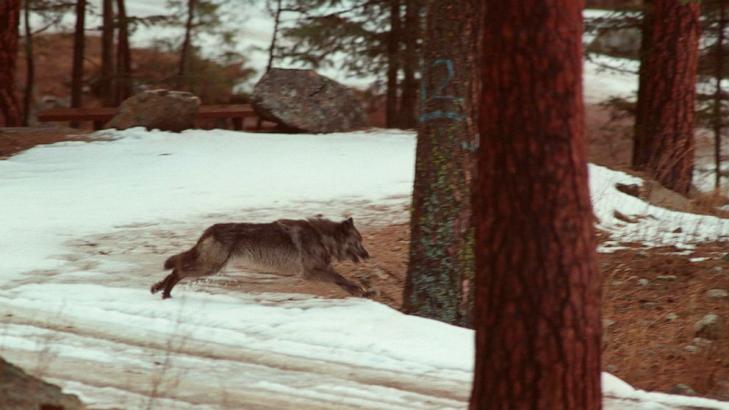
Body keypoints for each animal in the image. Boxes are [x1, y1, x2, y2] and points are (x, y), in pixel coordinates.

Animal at [152, 216, 370, 300]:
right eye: (358, 241)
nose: (368, 256)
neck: (322, 237)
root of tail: (209, 229)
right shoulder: (312, 272)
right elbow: (342, 278)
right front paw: (362, 290)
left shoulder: (321, 270)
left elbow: (343, 282)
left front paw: (362, 292)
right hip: (210, 268)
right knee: (178, 270)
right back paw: (165, 293)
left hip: (209, 266)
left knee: (177, 268)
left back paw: (159, 288)